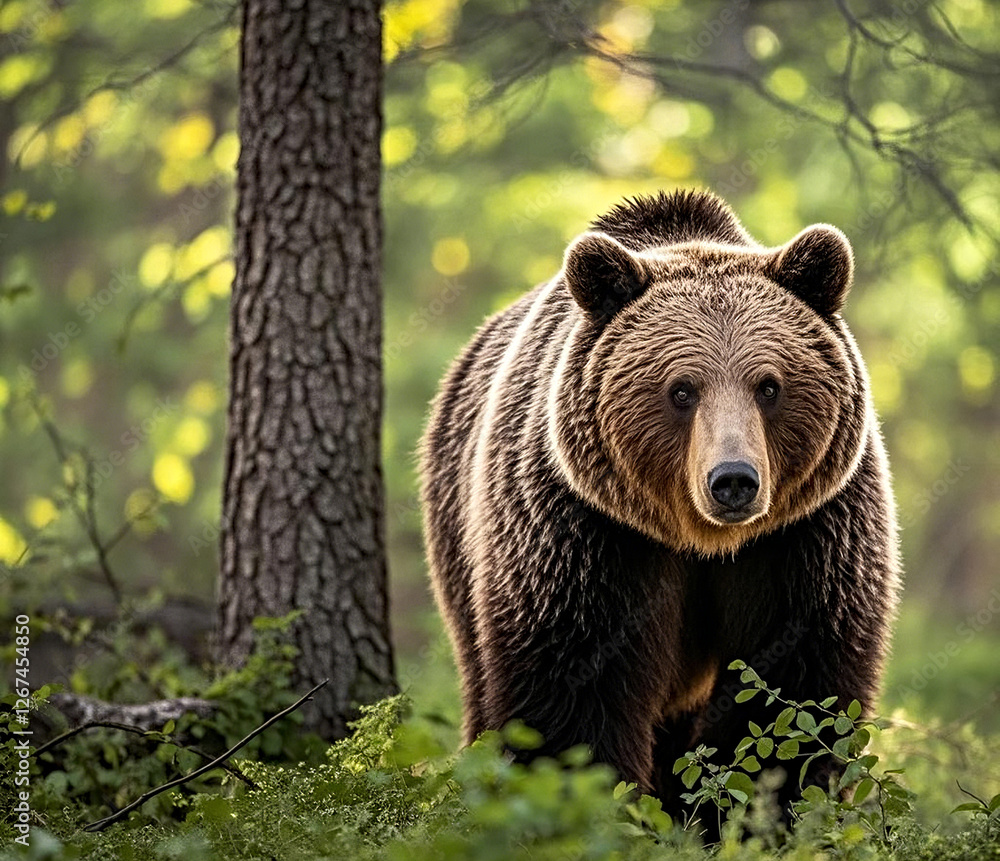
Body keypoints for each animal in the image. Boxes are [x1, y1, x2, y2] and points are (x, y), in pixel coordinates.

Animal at [419, 189, 900, 818]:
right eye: (681, 389)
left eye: (769, 385)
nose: (733, 480)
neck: (700, 541)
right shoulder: (583, 528)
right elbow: (571, 688)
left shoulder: (805, 534)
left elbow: (794, 696)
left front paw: (756, 812)